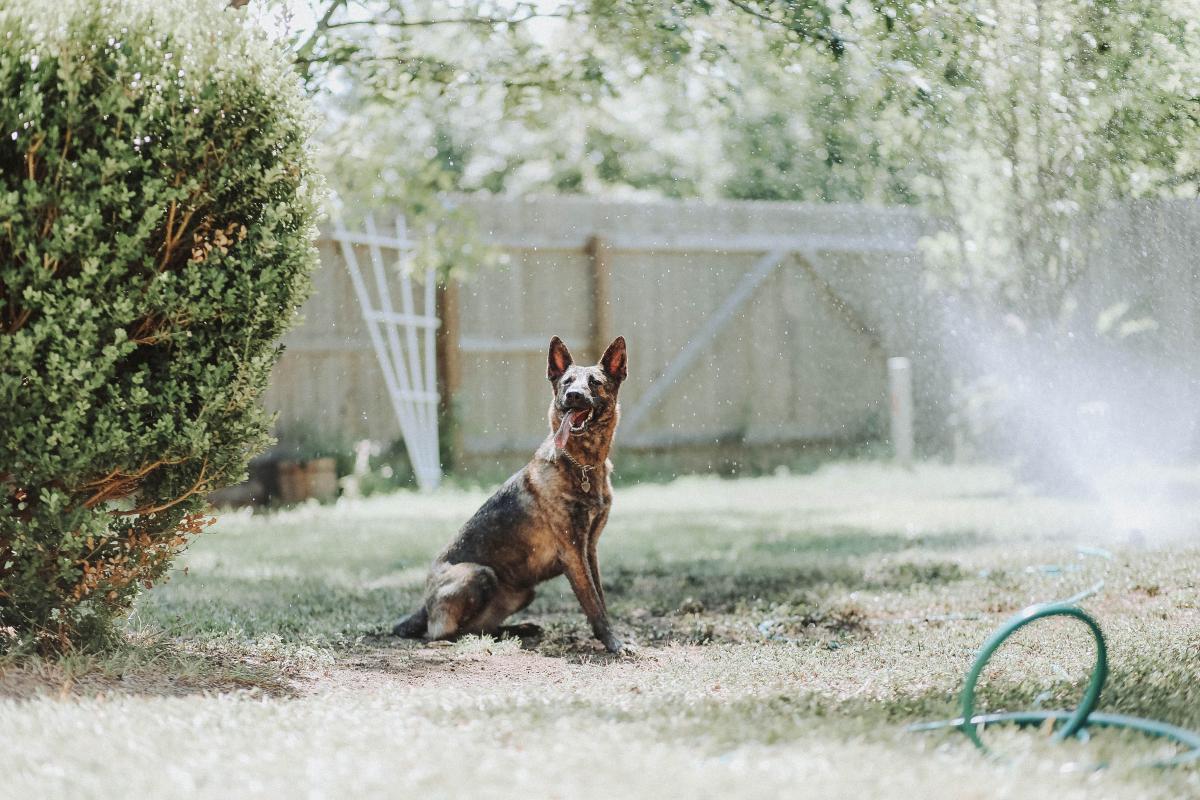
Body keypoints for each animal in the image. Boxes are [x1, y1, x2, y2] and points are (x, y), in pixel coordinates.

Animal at [396, 335, 638, 652]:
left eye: (595, 382)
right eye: (566, 382)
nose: (573, 396)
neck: (583, 465)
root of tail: (424, 606)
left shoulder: (589, 549)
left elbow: (601, 597)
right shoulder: (573, 551)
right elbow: (593, 604)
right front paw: (613, 643)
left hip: (524, 593)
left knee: (481, 627)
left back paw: (518, 629)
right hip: (478, 574)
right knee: (443, 633)